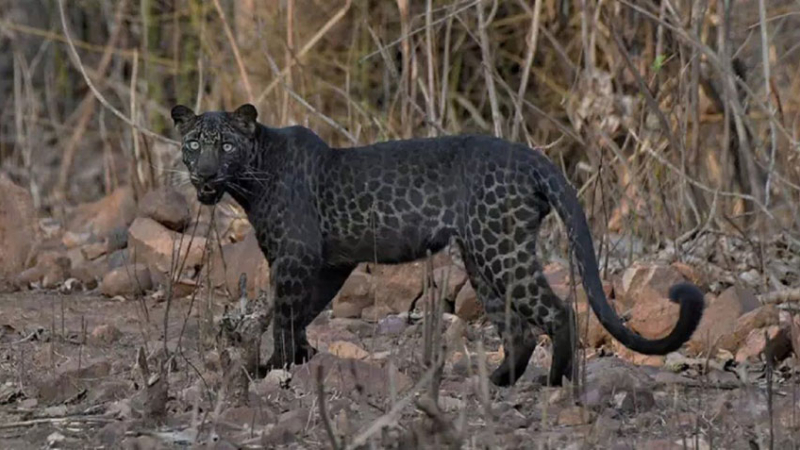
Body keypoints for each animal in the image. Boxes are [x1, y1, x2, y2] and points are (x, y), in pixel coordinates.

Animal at [170, 103, 705, 387]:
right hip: (481, 256)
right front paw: (299, 359)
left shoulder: (295, 257)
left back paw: (555, 382)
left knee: (558, 312)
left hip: (500, 250)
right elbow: (301, 312)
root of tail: (533, 157)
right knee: (518, 329)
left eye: (226, 145)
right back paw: (495, 382)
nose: (205, 173)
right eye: (194, 143)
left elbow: (283, 313)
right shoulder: (329, 263)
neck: (251, 179)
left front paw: (275, 367)